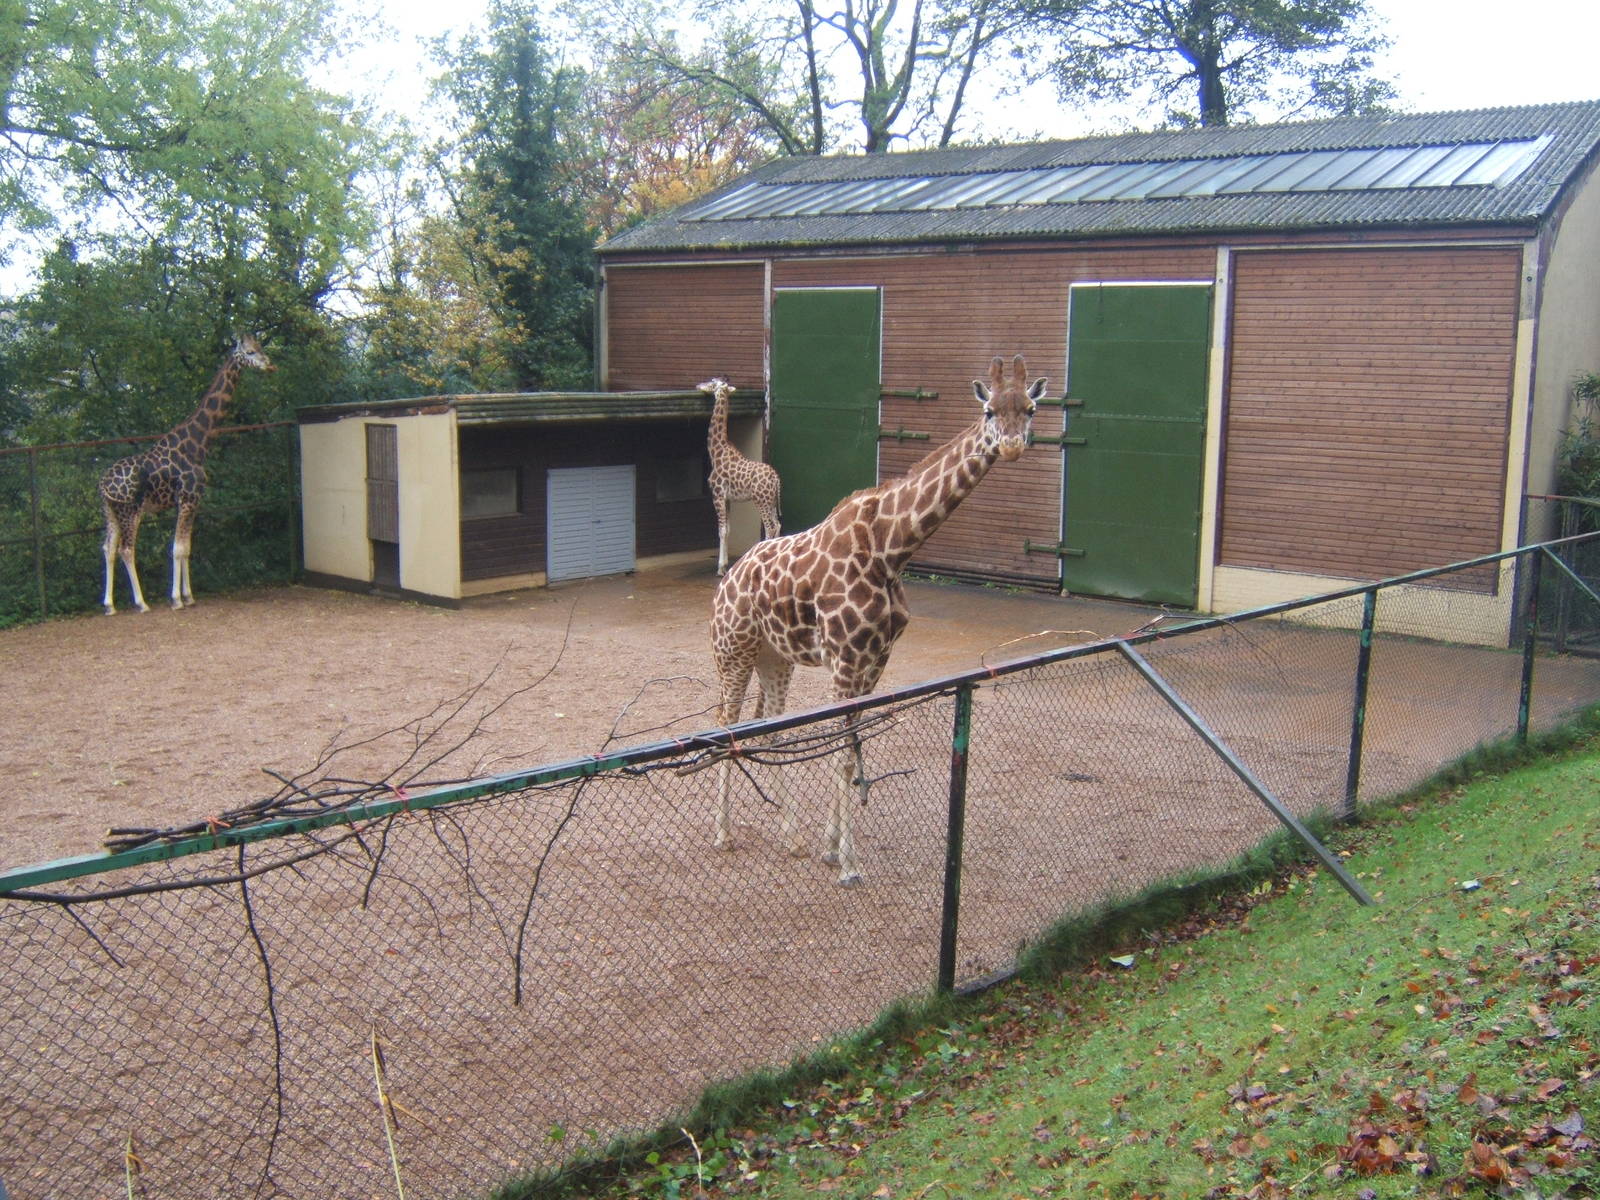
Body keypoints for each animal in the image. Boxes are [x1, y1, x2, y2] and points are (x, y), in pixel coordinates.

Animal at [98, 333, 275, 614]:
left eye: (260, 347)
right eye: (249, 352)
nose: (270, 365)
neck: (198, 444)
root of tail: (102, 485)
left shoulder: (193, 502)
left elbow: (186, 548)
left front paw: (188, 596)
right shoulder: (189, 498)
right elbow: (177, 548)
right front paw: (176, 599)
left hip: (110, 511)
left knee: (108, 547)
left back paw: (109, 605)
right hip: (130, 511)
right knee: (126, 549)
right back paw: (141, 603)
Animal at [699, 377, 781, 575]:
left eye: (711, 382)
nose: (698, 386)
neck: (716, 451)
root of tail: (777, 480)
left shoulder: (717, 495)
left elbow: (721, 530)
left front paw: (721, 568)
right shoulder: (728, 498)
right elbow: (728, 529)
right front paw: (725, 563)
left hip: (760, 500)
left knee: (770, 527)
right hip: (772, 501)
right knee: (777, 524)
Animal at [709, 354, 1047, 885]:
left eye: (1030, 409)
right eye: (990, 410)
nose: (1011, 445)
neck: (892, 549)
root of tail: (725, 584)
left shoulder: (875, 660)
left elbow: (851, 750)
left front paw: (830, 848)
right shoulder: (846, 660)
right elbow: (843, 751)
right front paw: (848, 863)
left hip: (774, 657)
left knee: (771, 726)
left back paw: (791, 837)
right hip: (734, 652)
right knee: (727, 724)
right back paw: (722, 833)